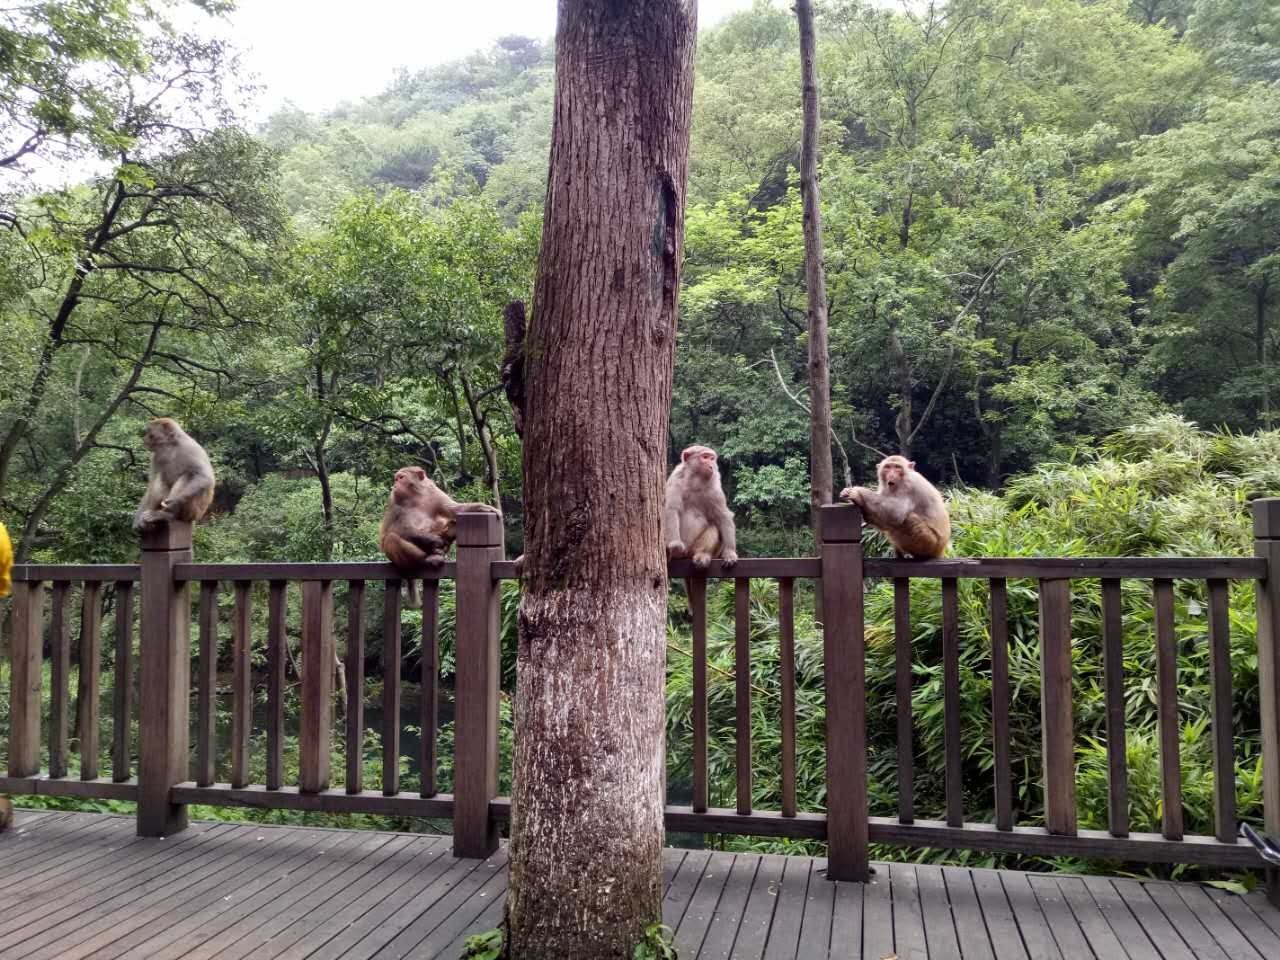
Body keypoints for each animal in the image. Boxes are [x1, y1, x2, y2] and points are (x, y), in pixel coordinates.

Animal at [378, 465, 499, 609]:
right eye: (396, 478)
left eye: (401, 477)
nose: (395, 485)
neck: (415, 496)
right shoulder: (394, 500)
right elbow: (391, 531)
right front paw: (432, 540)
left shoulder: (433, 491)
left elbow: (455, 509)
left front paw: (481, 508)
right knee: (392, 539)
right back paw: (427, 558)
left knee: (451, 522)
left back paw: (443, 546)